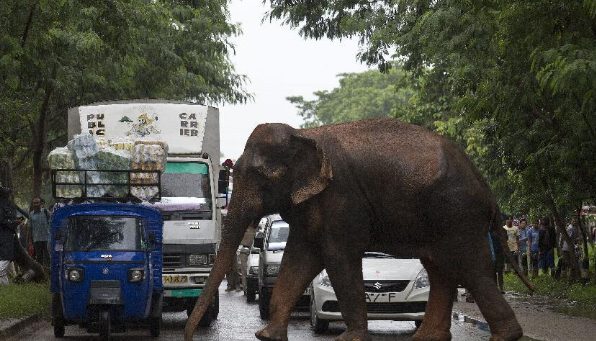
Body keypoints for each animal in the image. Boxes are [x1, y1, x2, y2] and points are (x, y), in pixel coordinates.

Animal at [184, 117, 532, 340]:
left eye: (260, 177)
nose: (189, 335)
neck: (306, 135)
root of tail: (484, 183)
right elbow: (298, 258)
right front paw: (267, 335)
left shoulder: (341, 198)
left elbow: (338, 258)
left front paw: (350, 339)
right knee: (441, 269)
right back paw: (427, 339)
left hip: (457, 213)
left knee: (469, 267)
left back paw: (506, 336)